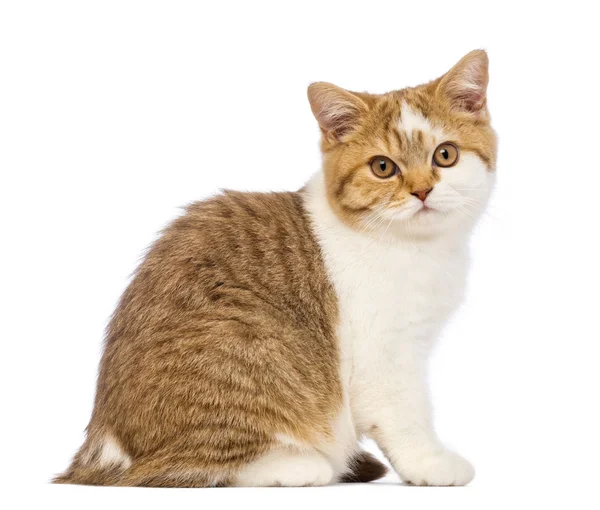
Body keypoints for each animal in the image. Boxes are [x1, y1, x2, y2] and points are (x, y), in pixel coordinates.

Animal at [56, 49, 496, 488]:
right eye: (383, 167)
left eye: (445, 155)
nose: (422, 190)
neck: (417, 247)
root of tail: (103, 445)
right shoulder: (383, 352)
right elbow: (405, 414)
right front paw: (430, 462)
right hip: (242, 341)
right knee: (186, 466)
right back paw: (301, 465)